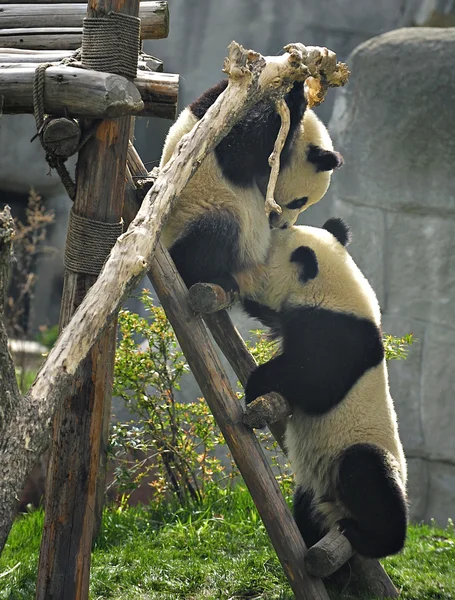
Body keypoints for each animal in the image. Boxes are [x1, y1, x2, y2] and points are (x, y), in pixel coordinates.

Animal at [159, 79, 342, 296]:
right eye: (299, 202)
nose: (284, 225)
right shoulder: (224, 117)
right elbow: (241, 149)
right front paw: (296, 91)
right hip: (191, 214)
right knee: (216, 230)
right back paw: (212, 276)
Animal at [244, 219, 408, 556]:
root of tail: (336, 509)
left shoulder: (339, 335)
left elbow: (316, 385)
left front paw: (256, 384)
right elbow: (271, 318)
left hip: (362, 456)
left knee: (366, 472)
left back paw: (371, 537)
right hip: (314, 490)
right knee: (306, 508)